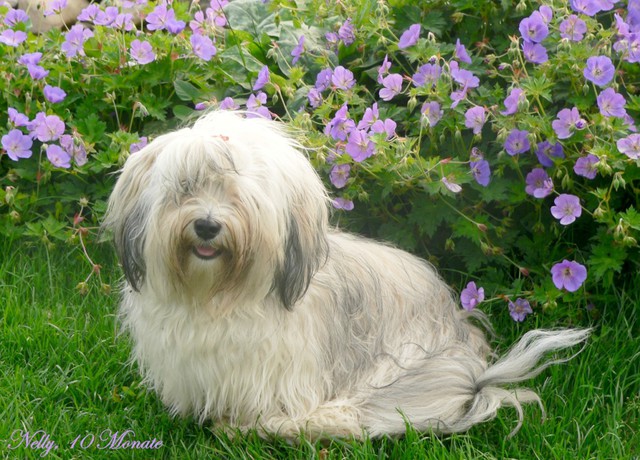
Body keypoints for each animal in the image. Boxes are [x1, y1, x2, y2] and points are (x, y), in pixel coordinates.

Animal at [104, 110, 589, 439]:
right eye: (186, 188)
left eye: (238, 193)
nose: (206, 225)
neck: (218, 296)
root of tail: (470, 365)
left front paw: (244, 423)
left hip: (398, 364)